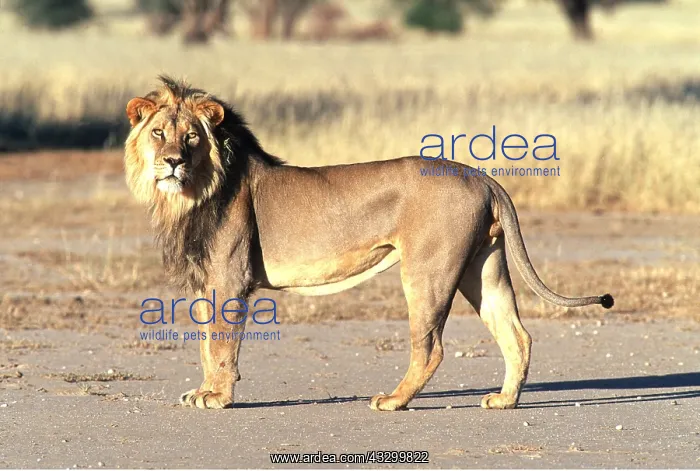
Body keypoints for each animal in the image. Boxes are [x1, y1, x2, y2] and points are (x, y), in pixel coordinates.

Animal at [125, 76, 614, 411]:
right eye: (158, 133)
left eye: (191, 136)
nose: (172, 162)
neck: (190, 194)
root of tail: (481, 176)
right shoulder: (205, 283)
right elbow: (207, 344)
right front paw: (204, 390)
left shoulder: (230, 278)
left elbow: (223, 344)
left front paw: (219, 397)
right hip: (484, 267)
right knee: (517, 333)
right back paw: (504, 400)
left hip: (428, 271)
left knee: (431, 347)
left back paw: (393, 401)